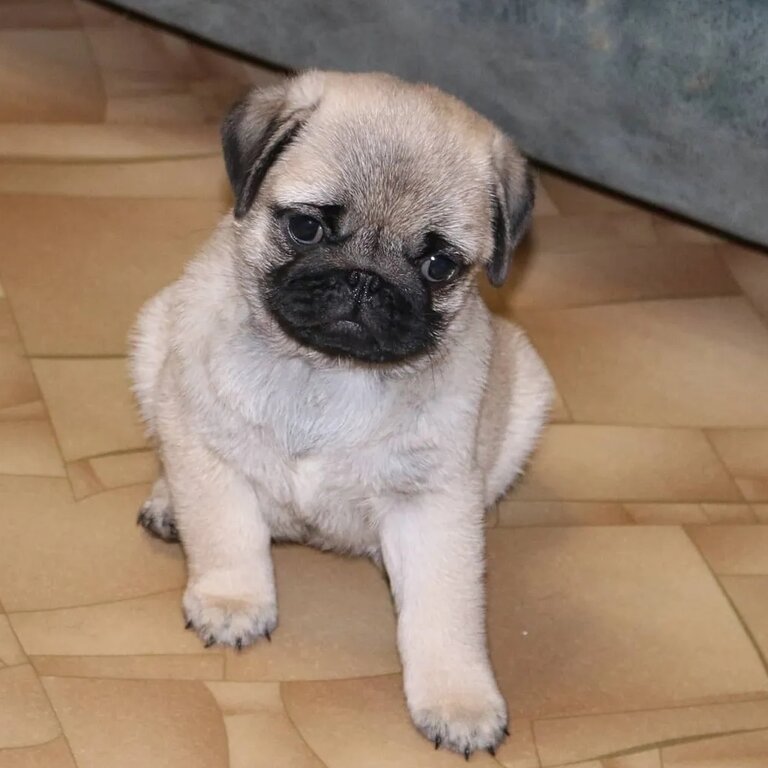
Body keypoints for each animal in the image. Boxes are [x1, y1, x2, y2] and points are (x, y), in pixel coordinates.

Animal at [132, 72, 552, 756]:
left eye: (438, 265)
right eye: (305, 227)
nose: (364, 280)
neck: (325, 373)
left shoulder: (433, 505)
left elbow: (444, 612)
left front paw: (458, 700)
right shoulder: (206, 443)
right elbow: (226, 531)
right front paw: (232, 599)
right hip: (152, 342)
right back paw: (169, 501)